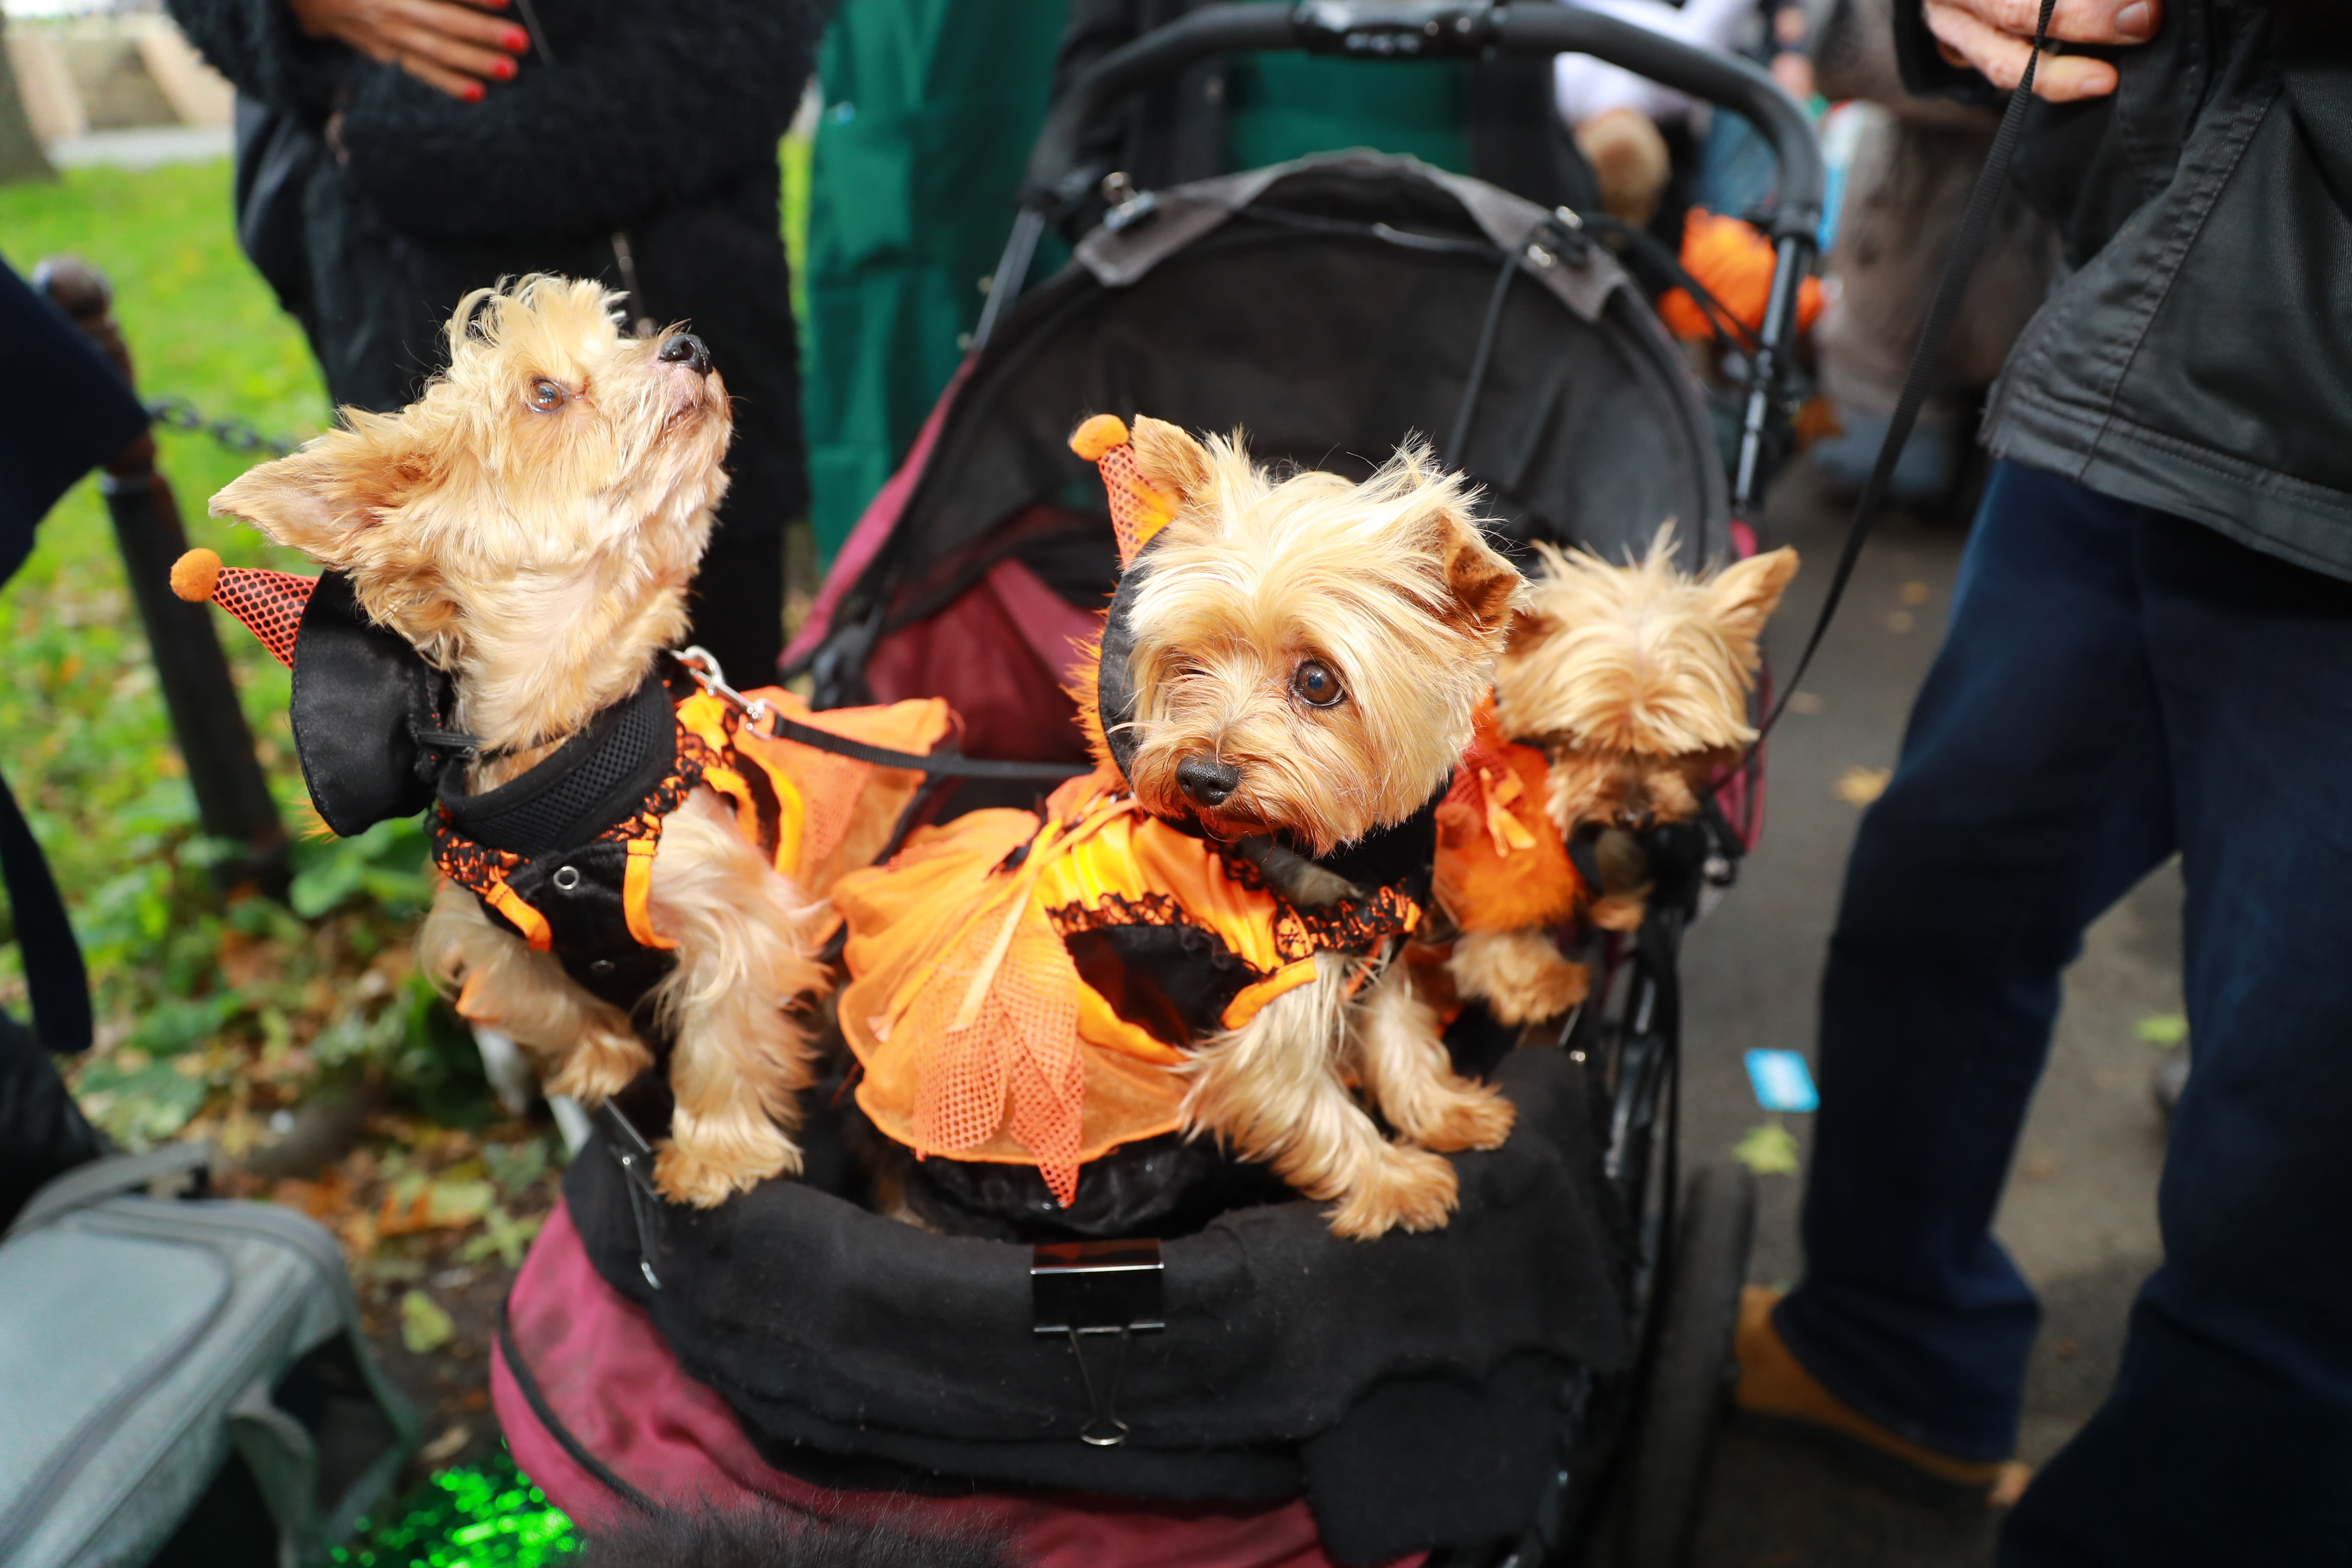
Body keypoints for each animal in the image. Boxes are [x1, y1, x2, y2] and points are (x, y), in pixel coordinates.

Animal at [1119, 425, 1524, 1241]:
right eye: (1187, 664)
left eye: (1317, 681)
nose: (1200, 777)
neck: (1332, 863)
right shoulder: (1264, 1021)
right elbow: (1309, 1107)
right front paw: (1396, 1182)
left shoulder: (1383, 947)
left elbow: (1399, 1034)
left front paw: (1443, 1112)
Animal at [1439, 531, 1787, 1029]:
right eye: (1580, 740)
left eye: (1681, 751)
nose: (1634, 816)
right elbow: (1505, 911)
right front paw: (1543, 985)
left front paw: (1615, 900)